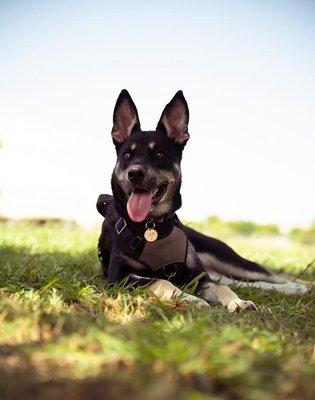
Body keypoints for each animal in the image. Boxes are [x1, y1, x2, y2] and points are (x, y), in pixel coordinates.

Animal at [97, 90, 310, 312]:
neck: (152, 227)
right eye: (127, 155)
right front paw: (191, 300)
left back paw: (295, 286)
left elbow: (221, 288)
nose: (135, 173)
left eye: (159, 155)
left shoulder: (200, 276)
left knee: (261, 276)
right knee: (239, 281)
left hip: (229, 259)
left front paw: (237, 302)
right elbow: (163, 282)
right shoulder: (120, 277)